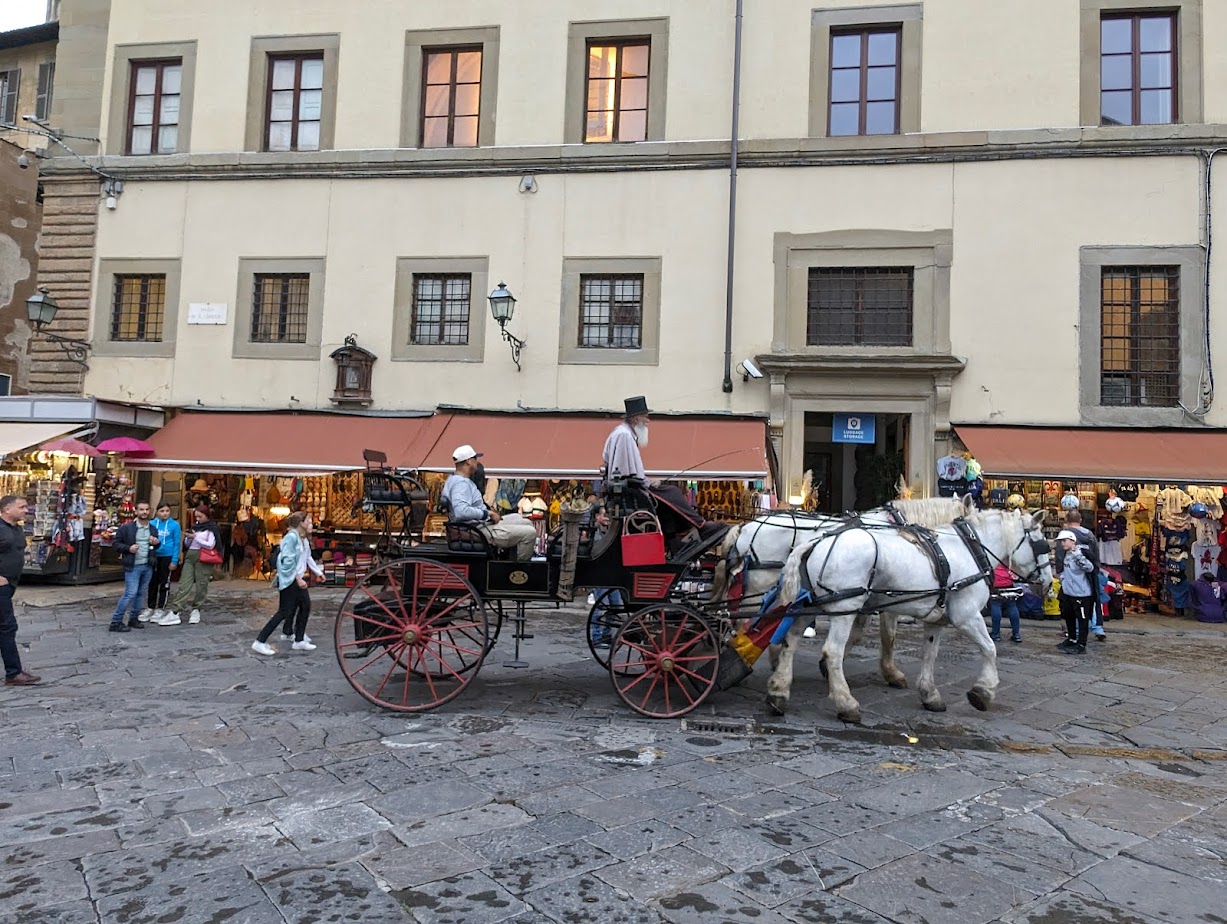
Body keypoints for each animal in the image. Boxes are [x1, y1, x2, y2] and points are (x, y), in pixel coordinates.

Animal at [770, 505, 1050, 721]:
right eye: (1041, 544)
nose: (1048, 582)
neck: (971, 549)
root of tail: (815, 542)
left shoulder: (936, 619)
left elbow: (930, 653)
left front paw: (929, 694)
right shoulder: (967, 615)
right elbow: (990, 648)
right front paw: (983, 692)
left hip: (811, 604)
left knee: (790, 640)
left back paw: (778, 691)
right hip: (843, 607)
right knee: (832, 651)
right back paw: (846, 704)